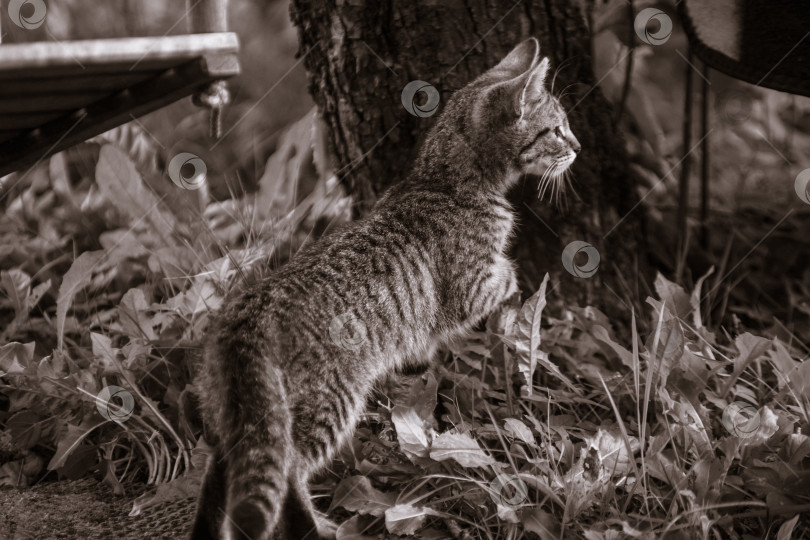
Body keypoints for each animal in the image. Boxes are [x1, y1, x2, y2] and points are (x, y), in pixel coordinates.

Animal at [193, 38, 576, 540]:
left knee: (222, 474)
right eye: (556, 130)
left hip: (237, 416)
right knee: (290, 469)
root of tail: (246, 318)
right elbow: (504, 275)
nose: (578, 147)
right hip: (326, 402)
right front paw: (516, 282)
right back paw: (317, 528)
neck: (441, 180)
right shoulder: (469, 288)